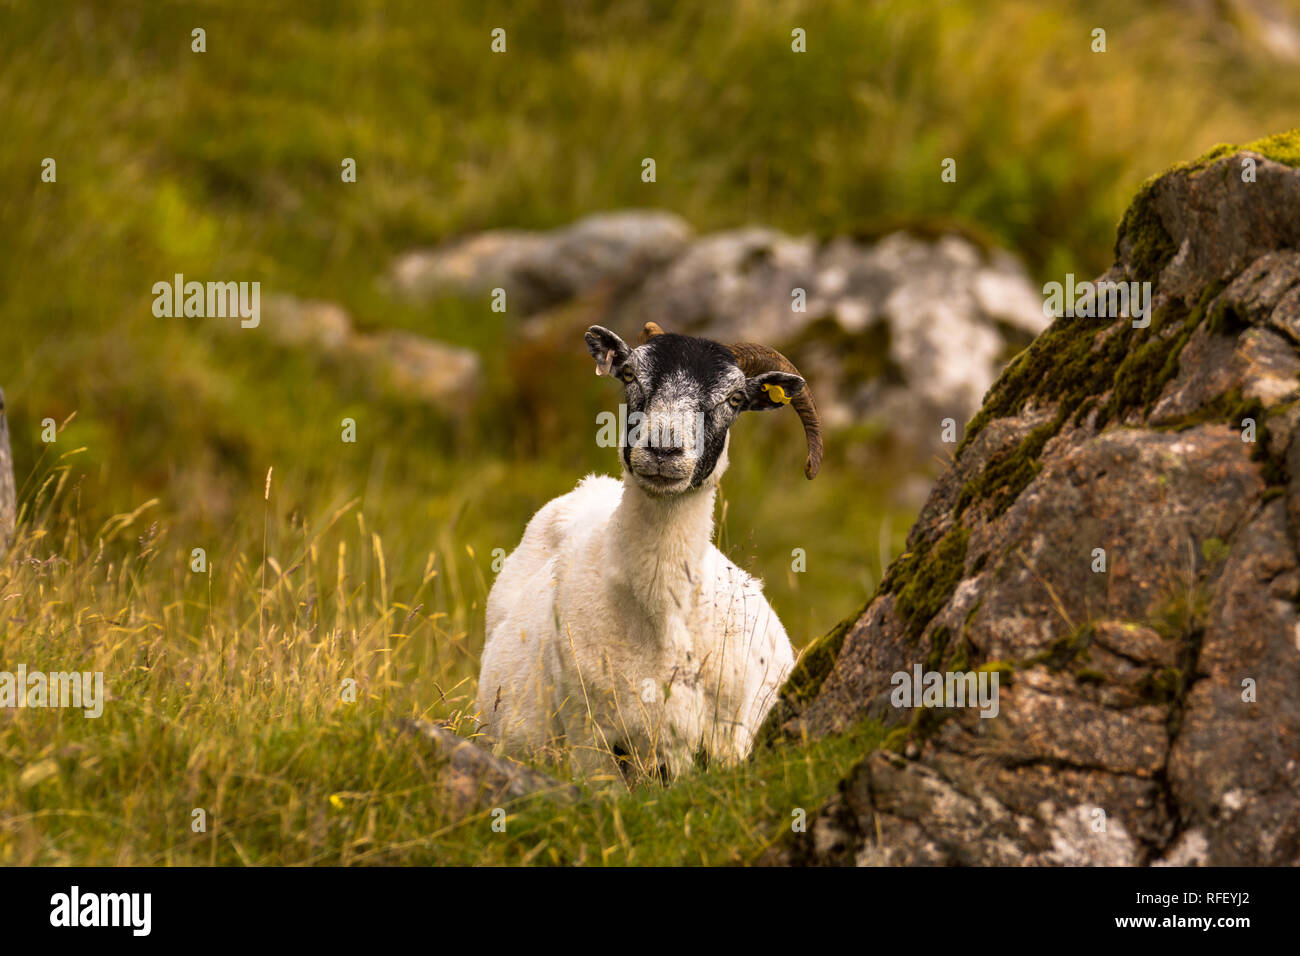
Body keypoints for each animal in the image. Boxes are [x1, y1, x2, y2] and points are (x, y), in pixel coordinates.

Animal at [475, 321, 823, 782]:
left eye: (734, 399)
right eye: (629, 376)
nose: (663, 449)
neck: (663, 616)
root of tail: (593, 486)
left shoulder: (727, 743)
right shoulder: (591, 741)